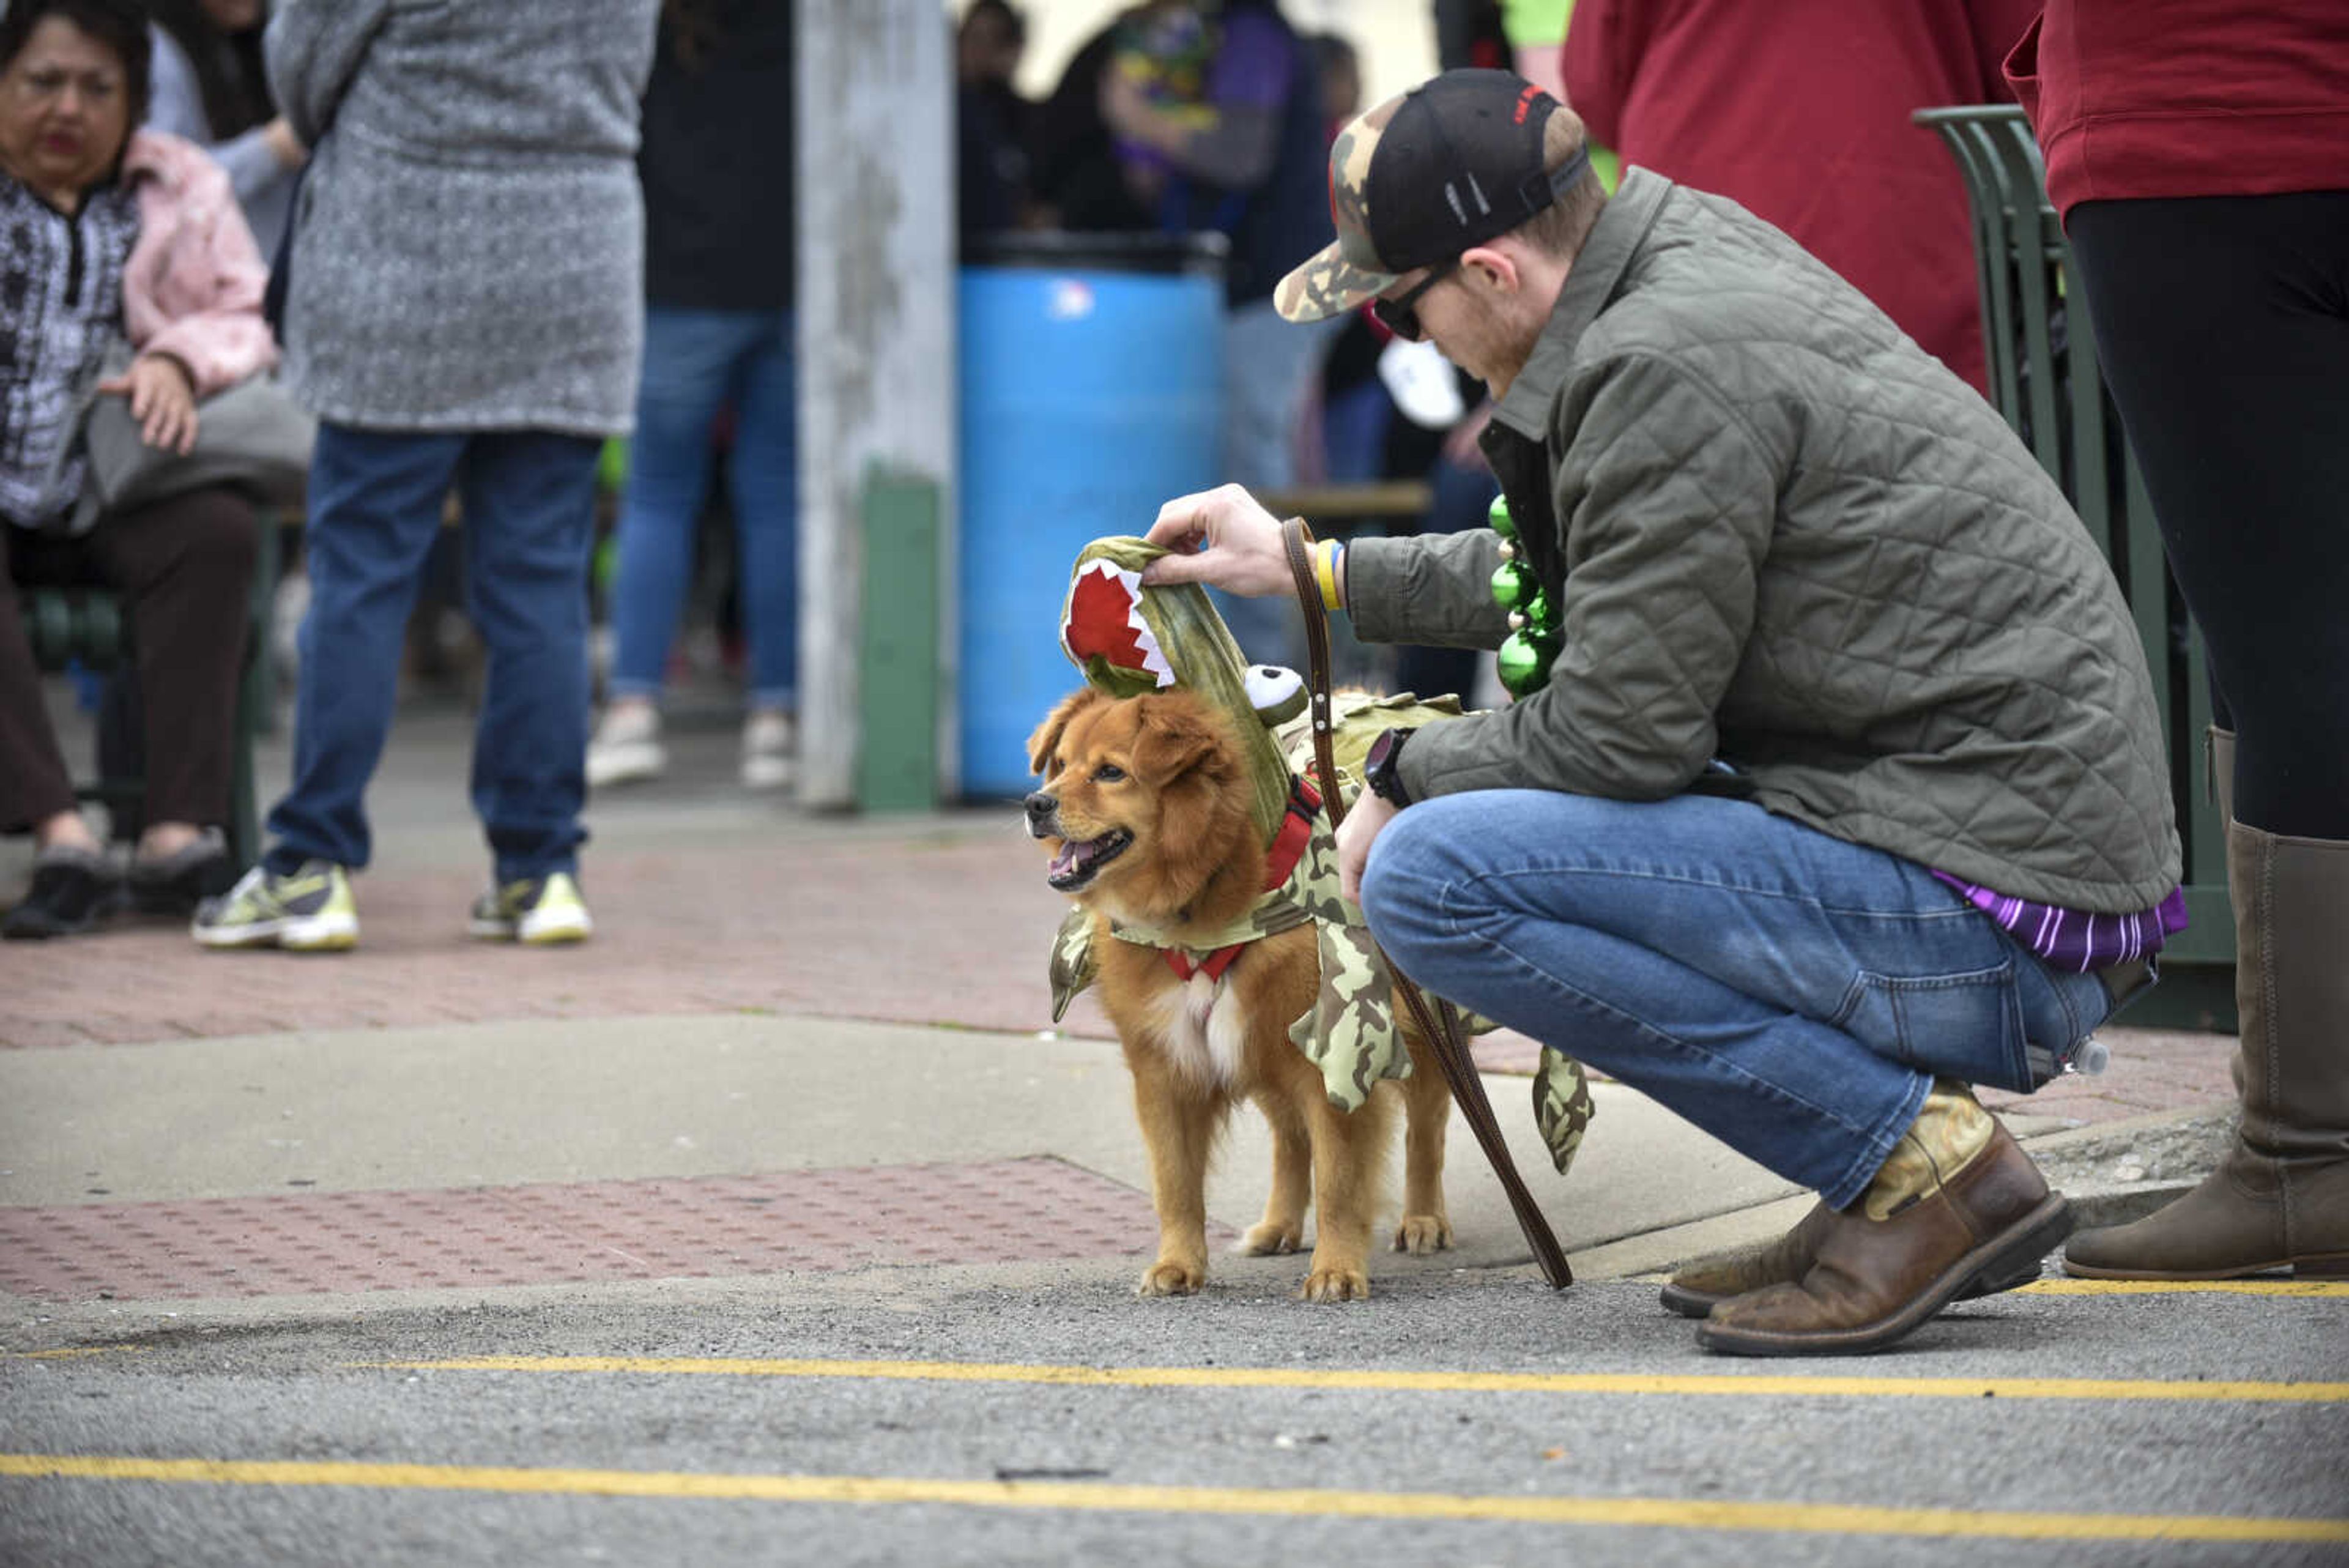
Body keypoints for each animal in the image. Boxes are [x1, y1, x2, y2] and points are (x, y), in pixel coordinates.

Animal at [1024, 686, 1447, 1298]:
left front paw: (1337, 1267)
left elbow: (1340, 1182)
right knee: (1291, 1141)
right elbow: (1176, 1183)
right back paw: (1278, 1225)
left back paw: (1423, 1217)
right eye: (1059, 765)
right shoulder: (1167, 1070)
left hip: (1424, 1035)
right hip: (1265, 1052)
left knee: (1426, 1131)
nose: (1035, 803)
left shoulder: (1338, 1062)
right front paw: (1179, 1263)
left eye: (1110, 772)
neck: (1203, 909)